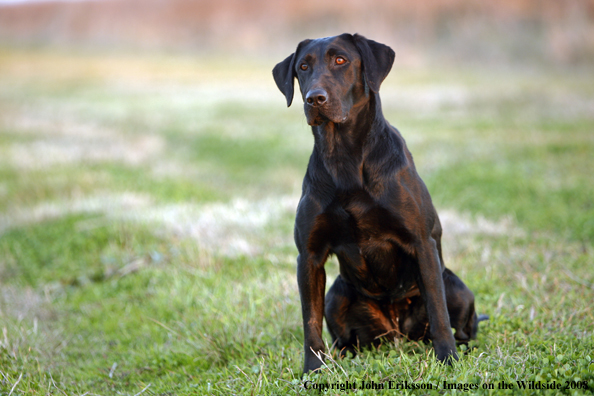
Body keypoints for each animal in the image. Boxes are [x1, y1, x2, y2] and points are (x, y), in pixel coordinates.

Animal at [270, 33, 484, 372]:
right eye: (303, 67)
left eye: (341, 60)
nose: (314, 99)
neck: (345, 157)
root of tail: (397, 332)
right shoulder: (309, 256)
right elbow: (310, 323)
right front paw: (313, 371)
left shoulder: (421, 243)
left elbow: (438, 312)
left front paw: (447, 359)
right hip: (337, 296)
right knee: (343, 337)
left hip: (456, 287)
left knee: (460, 323)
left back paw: (461, 349)